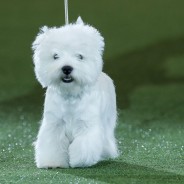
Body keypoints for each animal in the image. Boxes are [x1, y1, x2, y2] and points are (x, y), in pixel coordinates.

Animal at [32, 17, 118, 168]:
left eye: (80, 56)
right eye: (55, 56)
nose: (67, 68)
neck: (70, 95)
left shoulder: (87, 124)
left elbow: (84, 145)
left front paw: (79, 161)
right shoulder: (54, 124)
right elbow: (52, 144)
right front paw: (52, 162)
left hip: (108, 119)